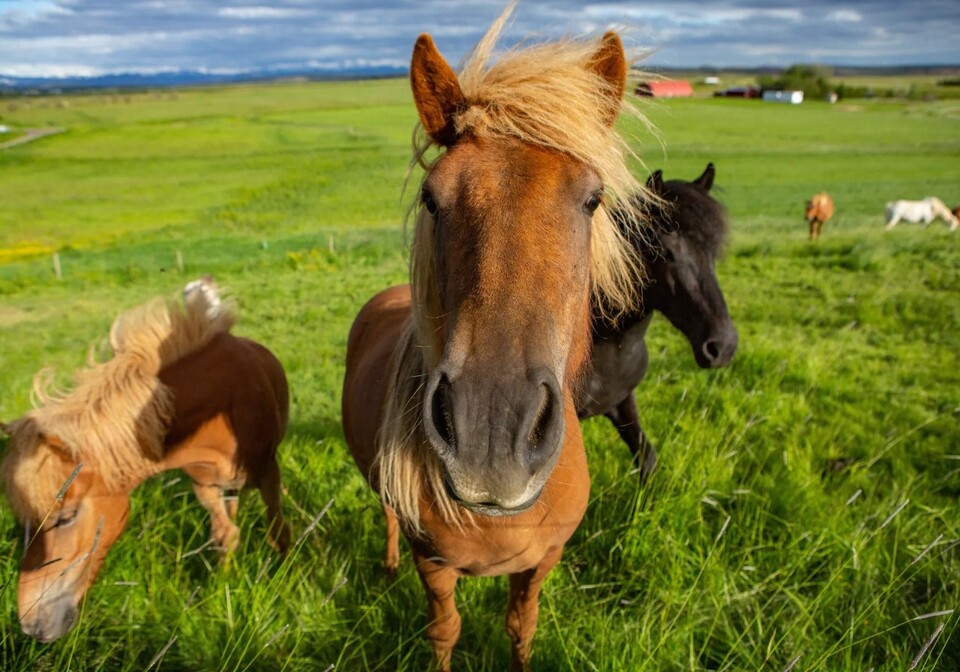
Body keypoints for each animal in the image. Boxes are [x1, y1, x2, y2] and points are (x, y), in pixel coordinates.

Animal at [0, 277, 290, 642]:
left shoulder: (269, 472)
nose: (32, 625)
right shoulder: (203, 485)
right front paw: (224, 582)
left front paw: (289, 576)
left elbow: (279, 532)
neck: (221, 407)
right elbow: (225, 535)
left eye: (66, 517)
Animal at [341, 7, 651, 670]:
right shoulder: (433, 564)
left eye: (593, 199)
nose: (492, 432)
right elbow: (445, 630)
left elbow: (520, 627)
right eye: (432, 197)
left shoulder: (542, 562)